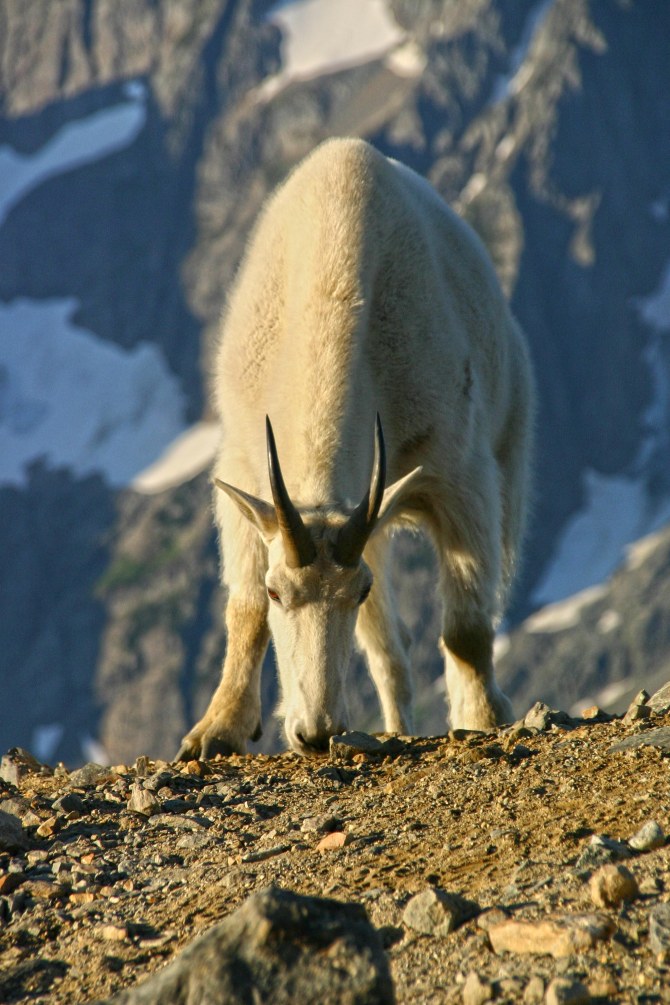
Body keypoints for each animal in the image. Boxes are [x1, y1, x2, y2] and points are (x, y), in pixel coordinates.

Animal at [177, 137, 533, 759]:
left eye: (357, 592)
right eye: (277, 591)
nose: (315, 733)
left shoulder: (458, 473)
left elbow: (465, 628)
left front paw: (485, 718)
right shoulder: (243, 470)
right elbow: (243, 612)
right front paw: (216, 731)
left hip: (507, 444)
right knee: (389, 651)